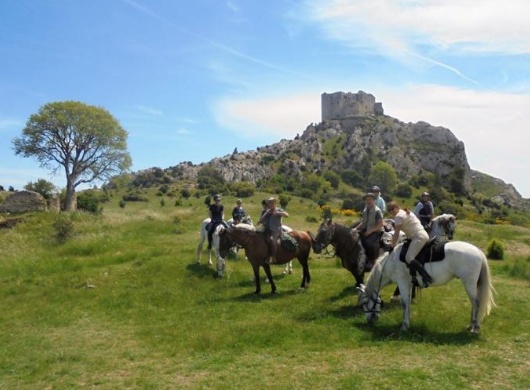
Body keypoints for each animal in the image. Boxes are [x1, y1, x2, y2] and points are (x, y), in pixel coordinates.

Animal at [358, 241, 496, 332]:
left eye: (364, 303)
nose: (369, 320)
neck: (391, 261)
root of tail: (478, 251)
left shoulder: (402, 282)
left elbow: (404, 303)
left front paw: (404, 325)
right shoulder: (409, 284)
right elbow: (408, 304)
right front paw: (408, 322)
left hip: (469, 283)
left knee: (476, 303)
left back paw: (475, 327)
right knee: (473, 303)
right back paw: (470, 325)